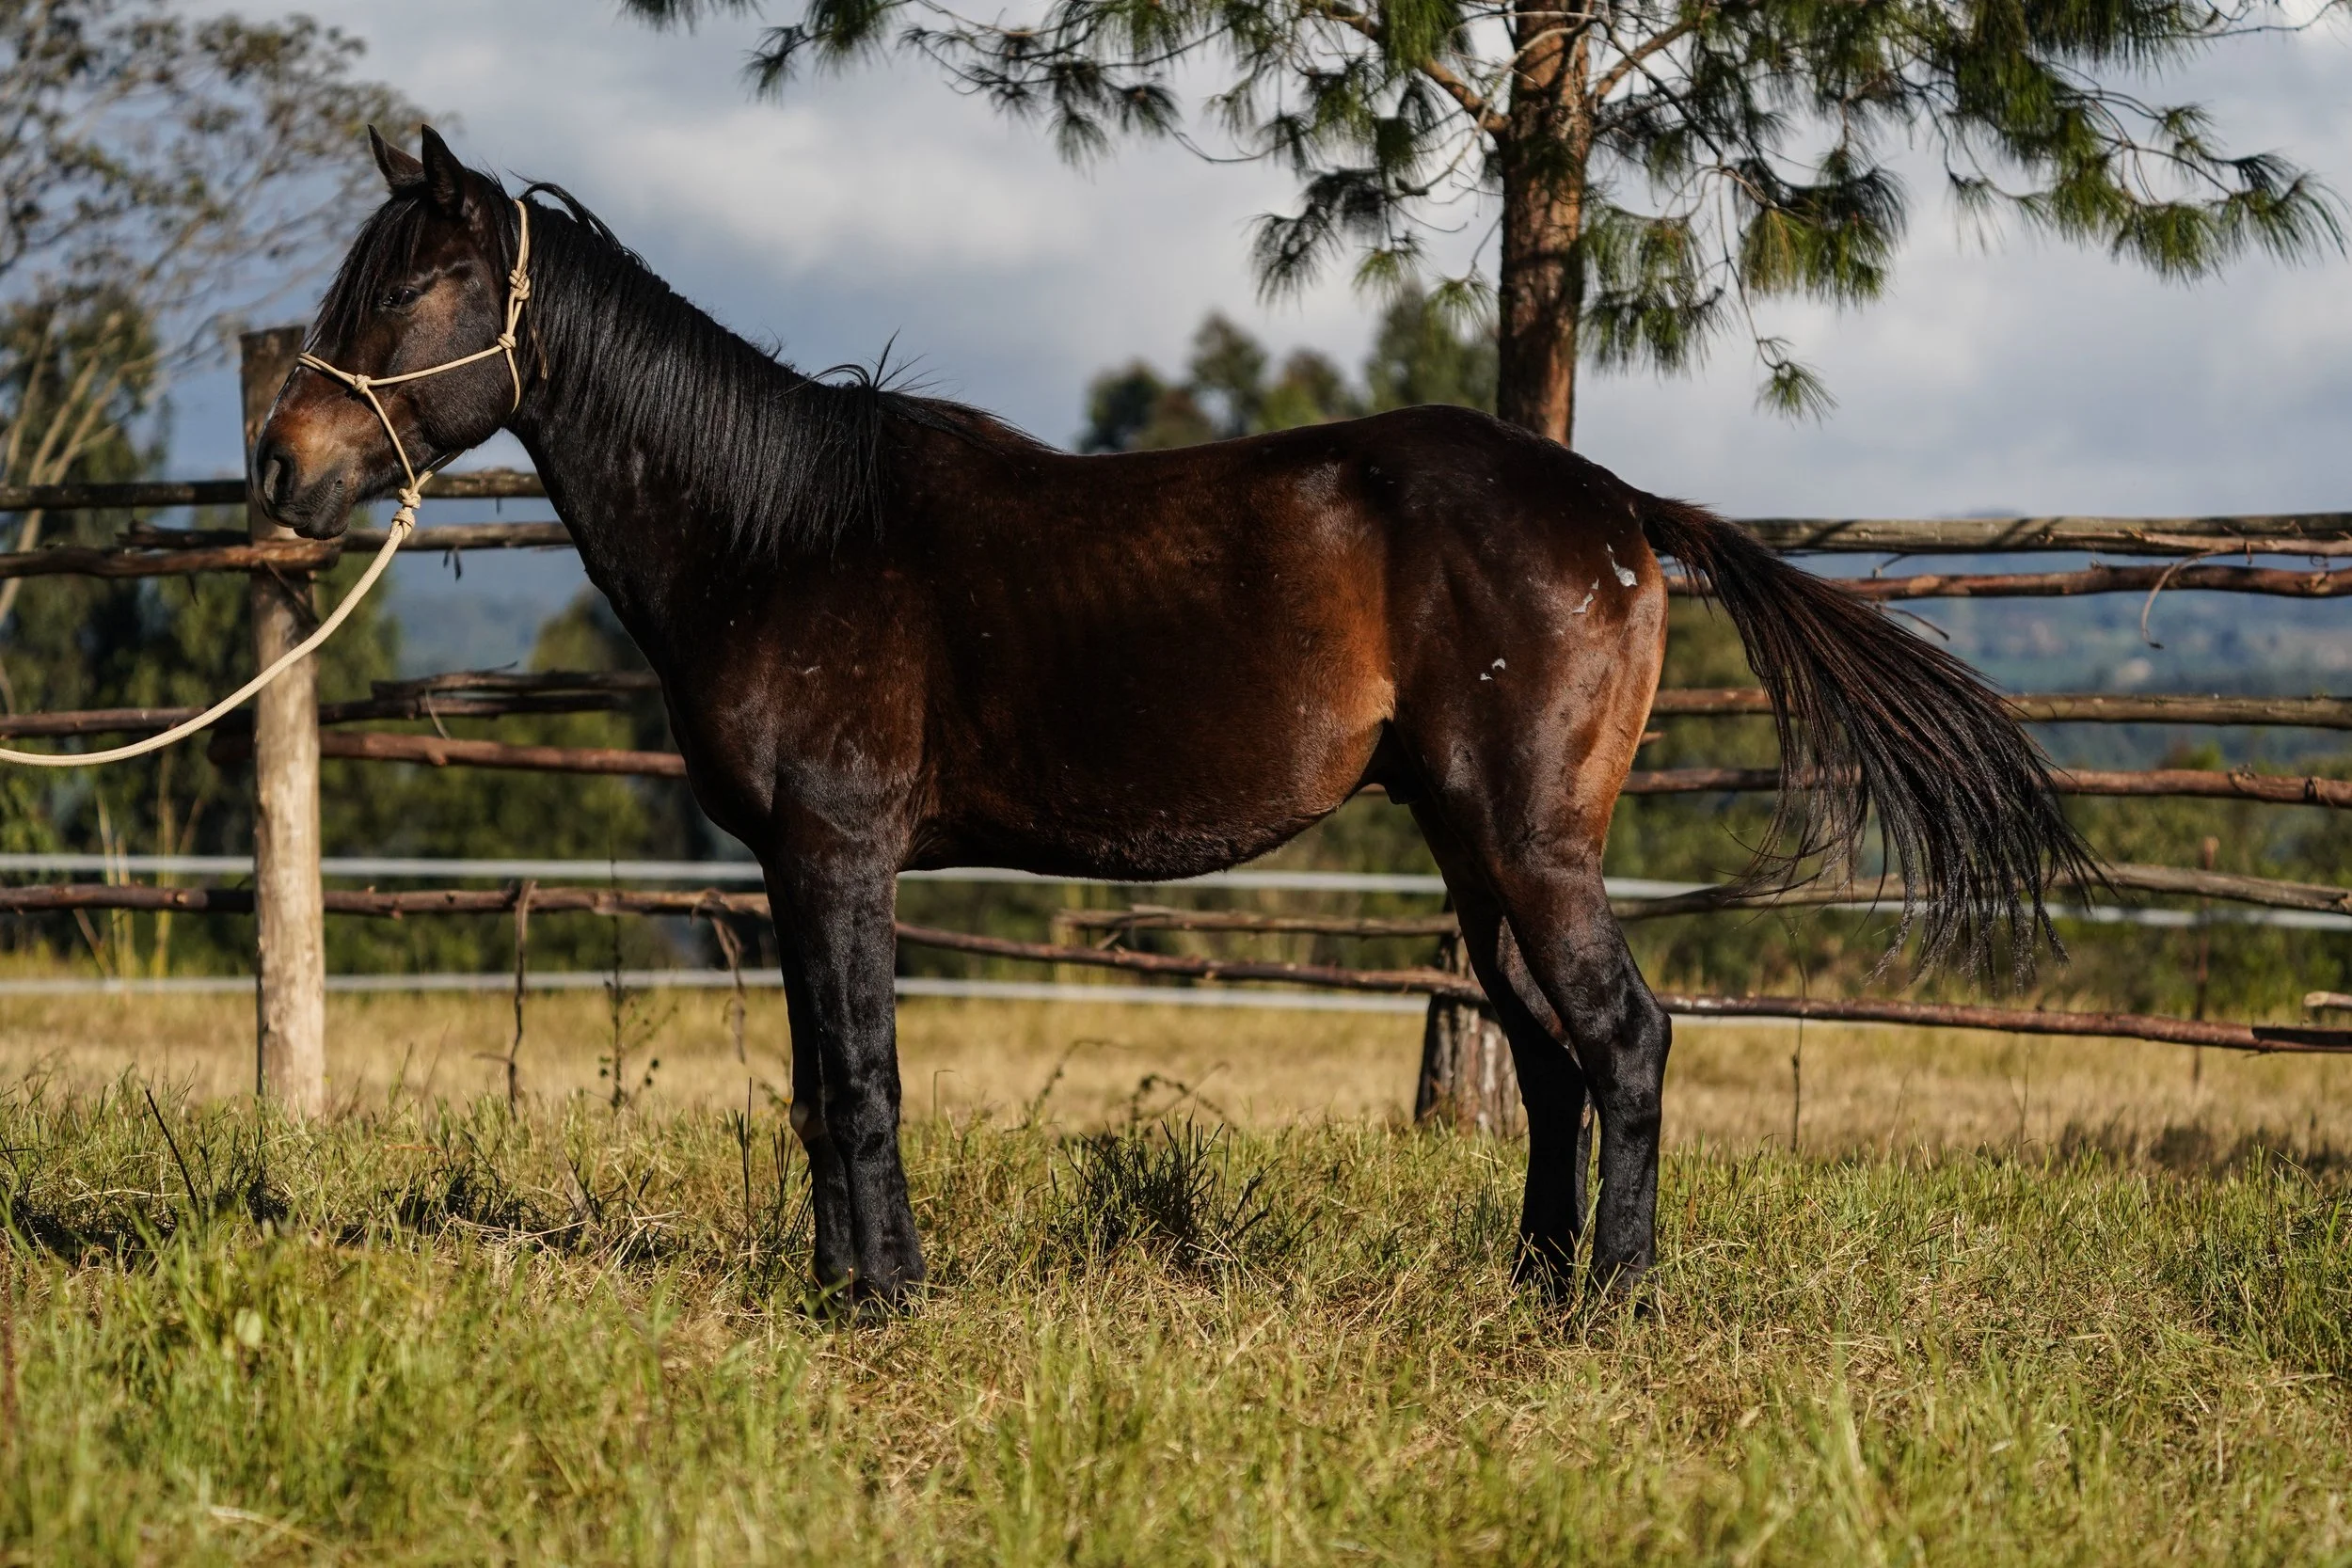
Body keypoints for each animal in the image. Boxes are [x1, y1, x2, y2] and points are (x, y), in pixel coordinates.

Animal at [253, 128, 2092, 1307]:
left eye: (413, 289)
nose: (282, 465)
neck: (780, 533)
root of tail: (1623, 508)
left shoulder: (841, 854)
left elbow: (865, 1077)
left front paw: (885, 1299)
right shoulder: (790, 869)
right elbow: (819, 1081)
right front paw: (846, 1287)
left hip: (1530, 841)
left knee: (1624, 1038)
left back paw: (1620, 1305)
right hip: (1472, 845)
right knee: (1547, 1053)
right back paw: (1536, 1292)